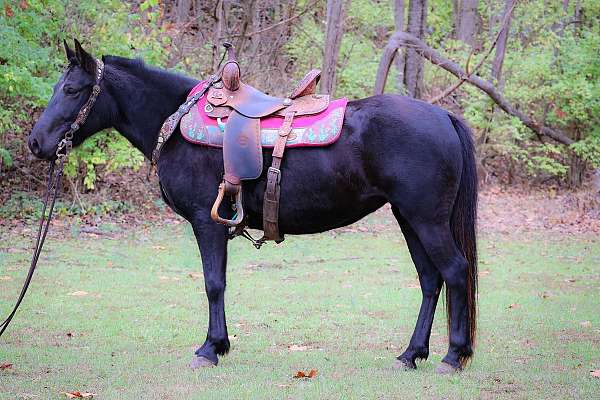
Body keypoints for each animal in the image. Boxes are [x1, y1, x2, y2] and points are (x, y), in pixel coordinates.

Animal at [29, 40, 478, 372]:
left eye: (71, 90)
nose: (36, 143)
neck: (175, 121)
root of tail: (442, 116)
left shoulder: (206, 221)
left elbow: (213, 283)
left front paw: (210, 348)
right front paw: (219, 344)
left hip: (426, 220)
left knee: (454, 272)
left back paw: (452, 356)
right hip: (408, 218)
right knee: (430, 280)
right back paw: (411, 354)